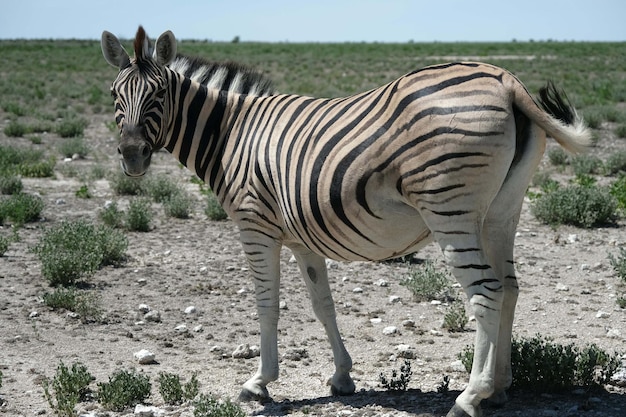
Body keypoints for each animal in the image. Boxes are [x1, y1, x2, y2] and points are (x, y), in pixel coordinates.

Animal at [100, 26, 588, 416]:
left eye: (158, 95)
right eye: (113, 96)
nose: (132, 155)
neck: (231, 135)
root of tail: (505, 80)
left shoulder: (255, 225)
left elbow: (266, 303)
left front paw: (259, 382)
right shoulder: (302, 238)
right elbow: (323, 305)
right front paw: (342, 377)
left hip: (450, 208)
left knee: (486, 292)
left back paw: (470, 397)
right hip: (502, 211)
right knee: (509, 288)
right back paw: (500, 388)